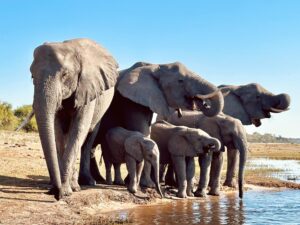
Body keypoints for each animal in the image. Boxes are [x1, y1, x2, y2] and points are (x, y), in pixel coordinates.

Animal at [31, 38, 118, 200]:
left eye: (65, 74)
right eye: (32, 76)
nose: (55, 193)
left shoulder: (89, 88)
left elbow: (79, 129)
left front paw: (66, 191)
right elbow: (57, 131)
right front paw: (61, 188)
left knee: (88, 138)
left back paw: (86, 183)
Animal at [79, 60, 225, 187]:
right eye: (180, 81)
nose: (204, 103)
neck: (155, 66)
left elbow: (146, 132)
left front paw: (136, 182)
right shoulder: (131, 101)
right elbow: (141, 130)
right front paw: (147, 185)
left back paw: (98, 179)